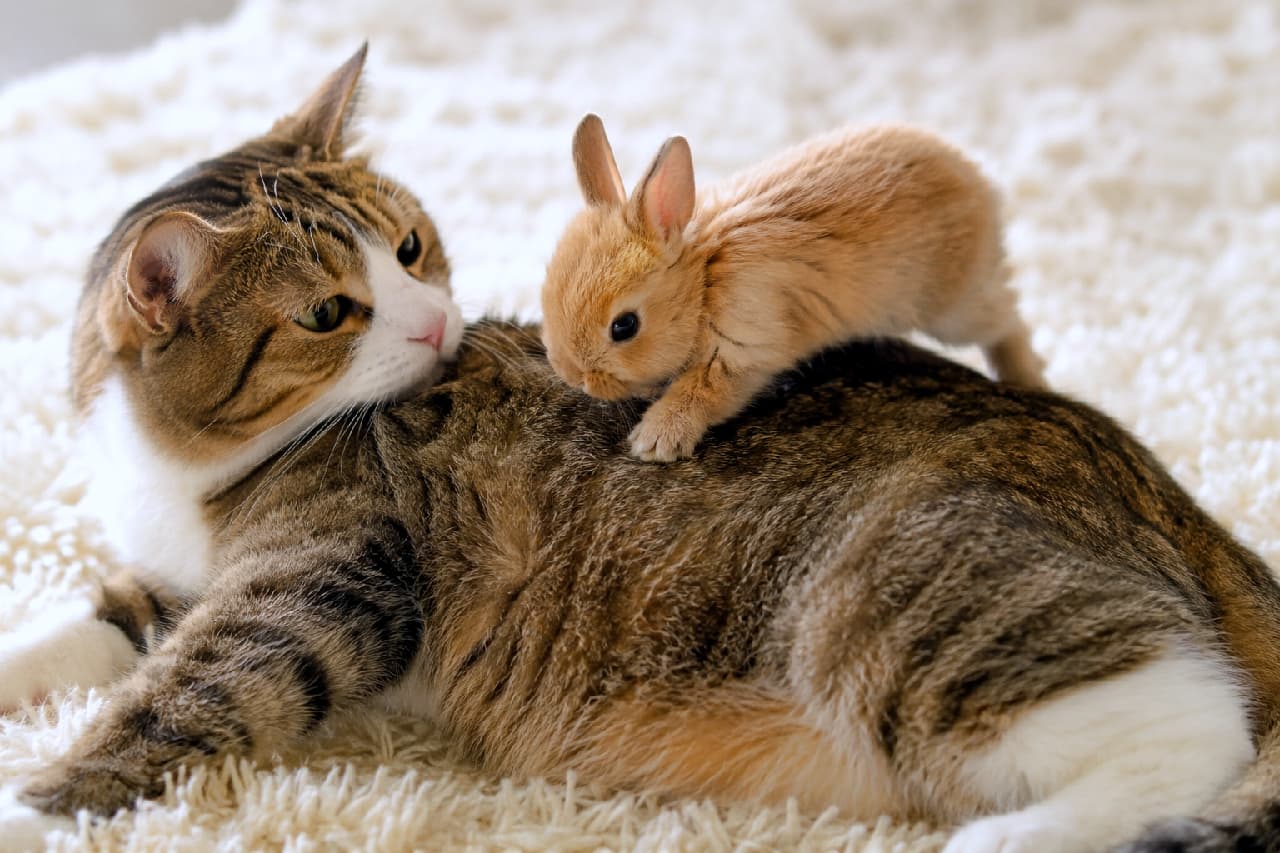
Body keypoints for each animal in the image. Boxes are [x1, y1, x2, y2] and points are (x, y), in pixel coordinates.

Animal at [540, 114, 1045, 462]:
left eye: (624, 326)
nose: (576, 376)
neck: (703, 280)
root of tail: (978, 183)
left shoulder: (739, 349)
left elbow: (699, 394)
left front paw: (656, 441)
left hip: (956, 308)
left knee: (1009, 323)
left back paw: (1027, 378)